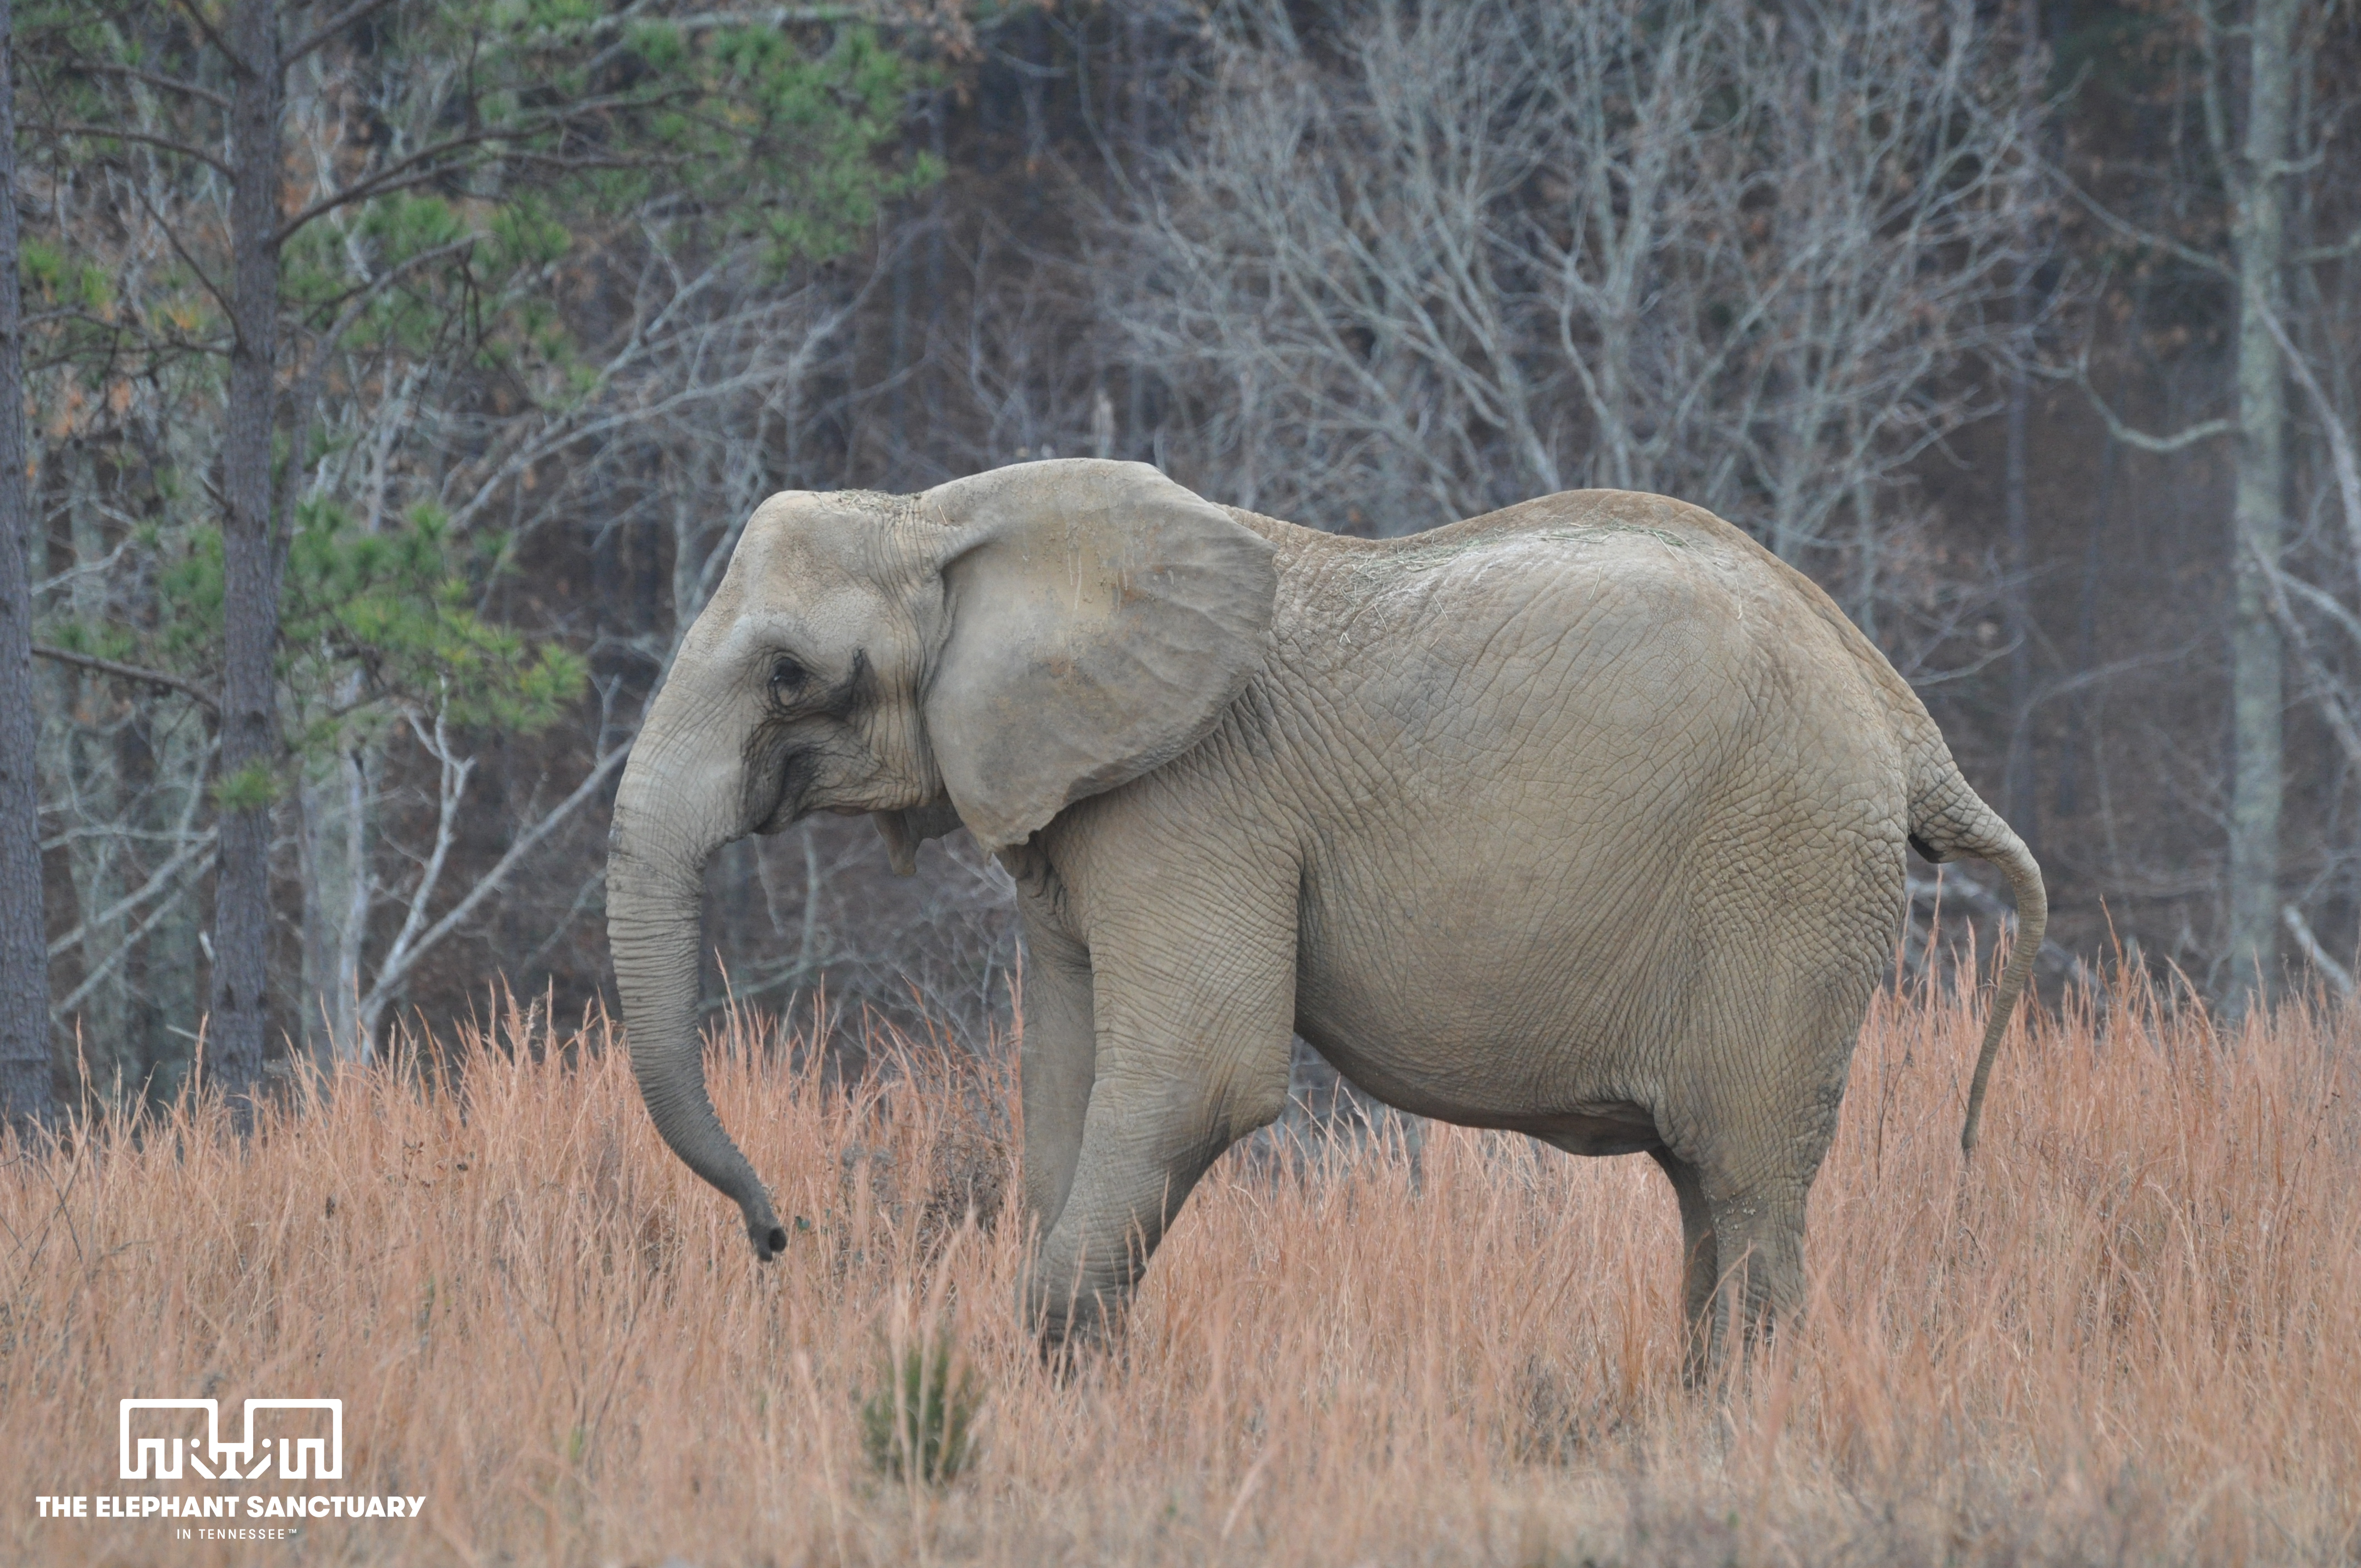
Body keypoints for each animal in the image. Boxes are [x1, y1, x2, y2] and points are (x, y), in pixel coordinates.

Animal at [606, 458, 2045, 1368]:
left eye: (788, 673)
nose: (776, 1236)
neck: (952, 517)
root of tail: (1902, 721)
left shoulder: (1190, 799)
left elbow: (1197, 1075)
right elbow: (1066, 1077)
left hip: (1785, 880)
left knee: (1743, 1186)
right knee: (1705, 1195)